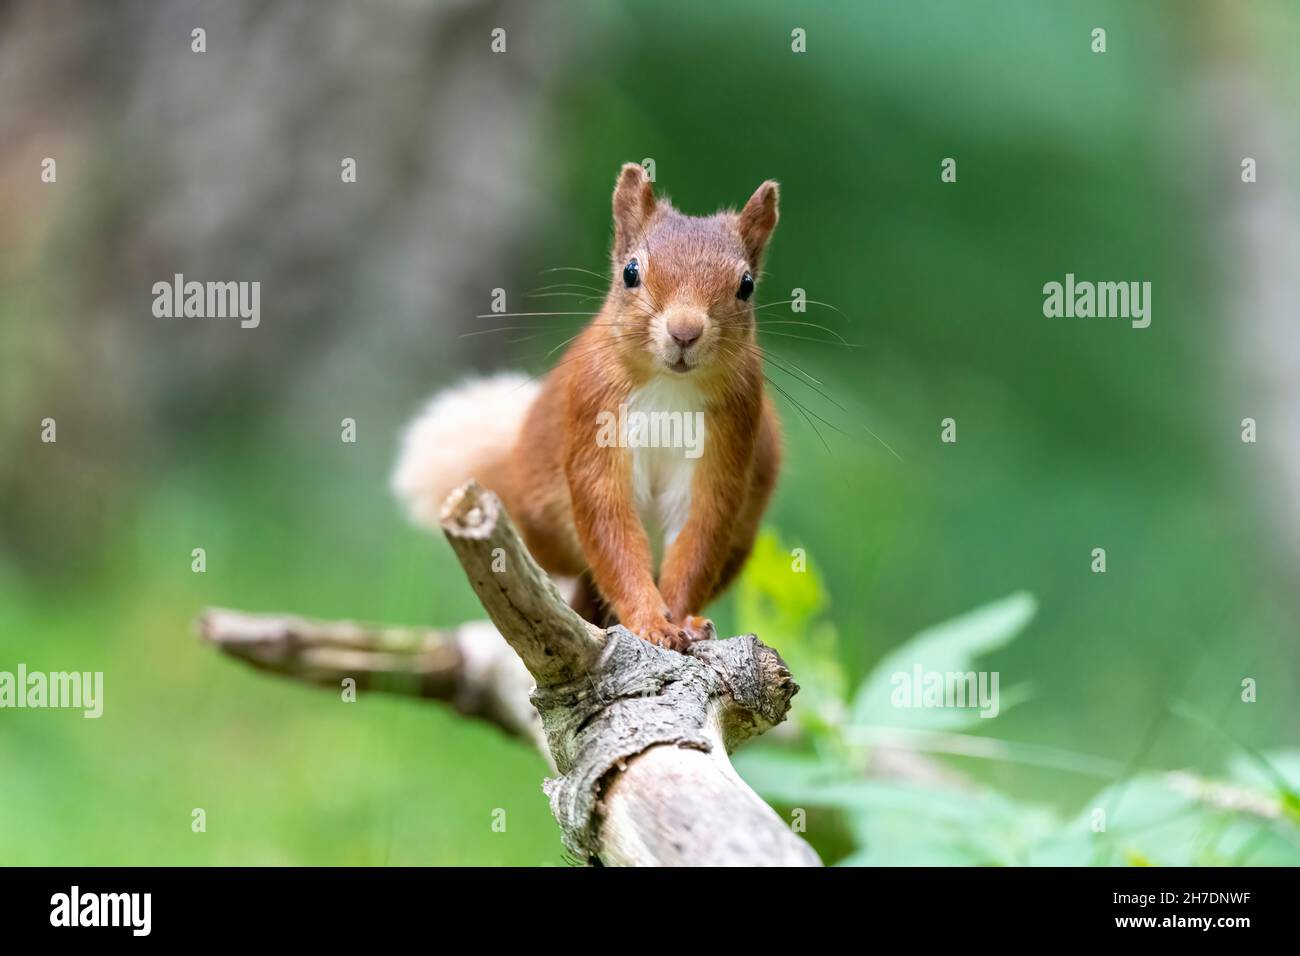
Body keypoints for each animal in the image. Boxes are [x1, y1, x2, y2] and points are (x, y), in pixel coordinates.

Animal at [393, 163, 781, 652]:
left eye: (746, 285)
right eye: (631, 273)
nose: (685, 331)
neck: (670, 388)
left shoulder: (728, 438)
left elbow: (699, 533)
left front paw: (682, 620)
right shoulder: (595, 415)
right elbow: (609, 524)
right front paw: (650, 622)